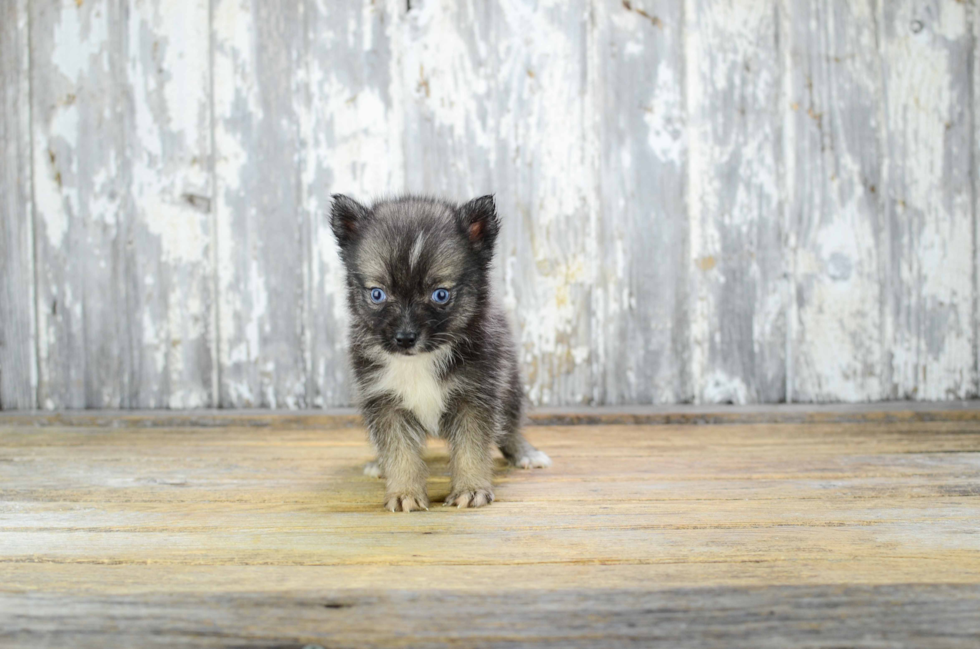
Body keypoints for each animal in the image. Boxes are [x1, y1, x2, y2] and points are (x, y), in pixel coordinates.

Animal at [332, 192, 552, 512]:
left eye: (441, 295)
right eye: (377, 294)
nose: (405, 338)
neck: (421, 360)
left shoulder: (476, 396)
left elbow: (472, 448)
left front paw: (471, 488)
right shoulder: (384, 401)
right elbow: (399, 452)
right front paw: (404, 491)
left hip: (510, 386)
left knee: (509, 426)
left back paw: (524, 452)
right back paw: (379, 464)